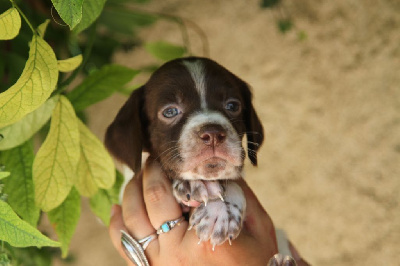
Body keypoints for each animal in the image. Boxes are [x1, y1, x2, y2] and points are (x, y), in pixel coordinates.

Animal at [104, 56, 264, 249]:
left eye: (233, 105)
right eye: (170, 111)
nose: (213, 134)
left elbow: (233, 182)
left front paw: (219, 211)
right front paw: (193, 184)